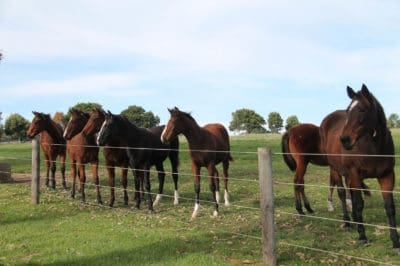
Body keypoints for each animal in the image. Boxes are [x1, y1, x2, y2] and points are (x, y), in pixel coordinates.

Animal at [318, 84, 400, 248]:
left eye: (362, 109)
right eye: (348, 111)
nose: (344, 139)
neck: (374, 149)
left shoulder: (387, 176)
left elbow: (389, 207)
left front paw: (395, 241)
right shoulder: (355, 174)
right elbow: (359, 204)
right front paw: (362, 236)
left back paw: (355, 221)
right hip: (335, 169)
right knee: (343, 194)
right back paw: (348, 223)